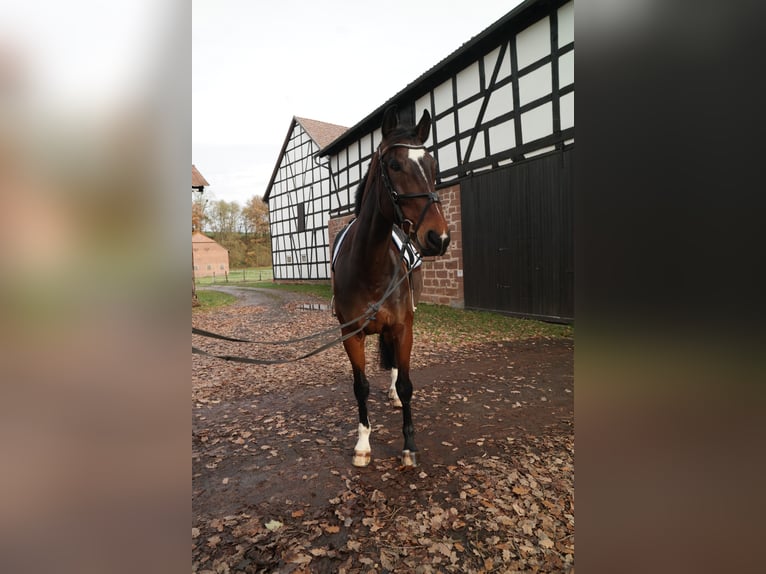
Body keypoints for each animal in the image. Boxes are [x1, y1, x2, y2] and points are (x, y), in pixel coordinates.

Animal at [330, 107, 450, 468]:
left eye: (433, 166)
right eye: (395, 165)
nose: (438, 237)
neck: (370, 264)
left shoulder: (402, 327)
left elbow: (408, 383)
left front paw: (409, 446)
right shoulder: (351, 335)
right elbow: (360, 387)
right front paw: (362, 444)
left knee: (397, 364)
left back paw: (395, 394)